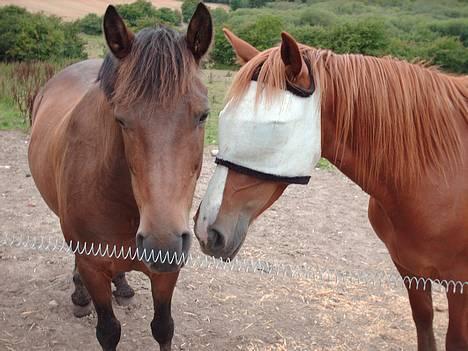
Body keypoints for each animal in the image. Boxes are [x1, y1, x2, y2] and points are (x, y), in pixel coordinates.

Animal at [27, 4, 214, 350]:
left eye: (203, 114)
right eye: (121, 119)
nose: (162, 244)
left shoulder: (168, 272)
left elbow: (163, 327)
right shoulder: (93, 265)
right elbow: (109, 331)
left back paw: (124, 287)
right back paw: (79, 296)